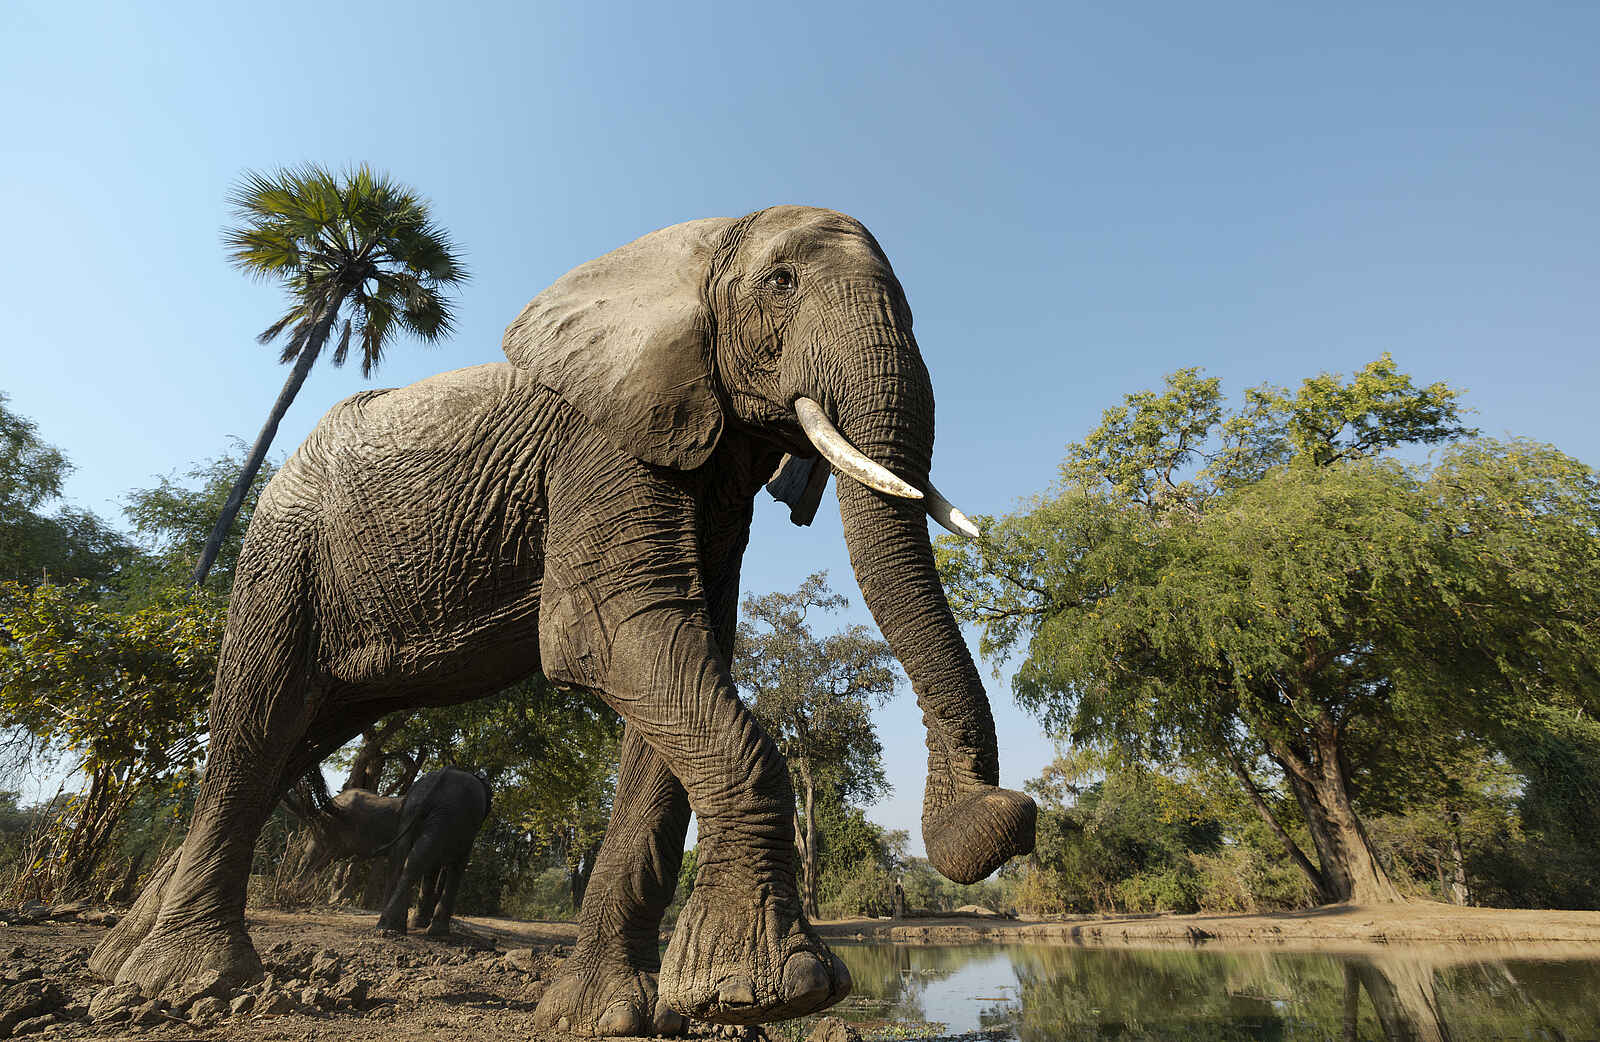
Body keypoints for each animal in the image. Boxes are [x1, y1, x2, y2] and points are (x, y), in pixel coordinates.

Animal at [287, 767, 492, 936]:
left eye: (325, 830)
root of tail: (439, 779)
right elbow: (451, 865)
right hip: (439, 814)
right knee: (412, 859)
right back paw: (393, 927)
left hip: (429, 813)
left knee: (407, 859)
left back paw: (388, 926)